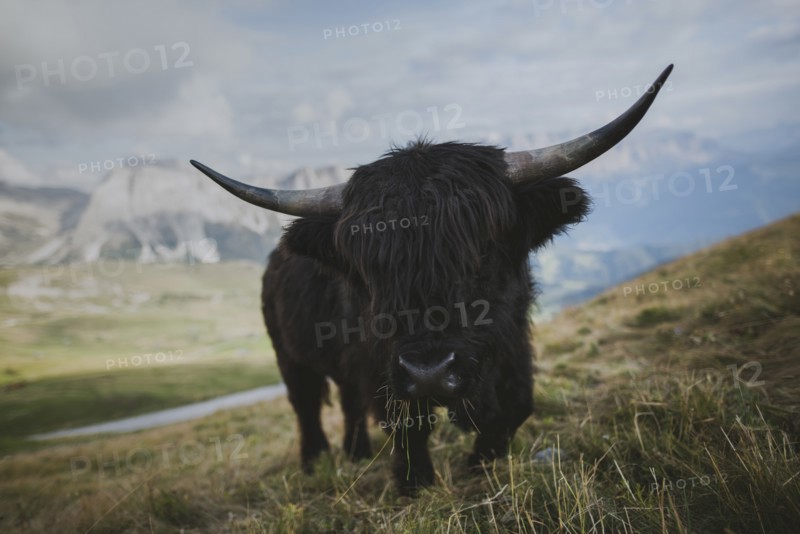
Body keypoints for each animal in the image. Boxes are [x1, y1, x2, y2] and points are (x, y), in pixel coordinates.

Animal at [190, 65, 673, 494]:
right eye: (370, 271)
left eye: (482, 250)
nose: (430, 373)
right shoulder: (380, 364)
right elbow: (406, 426)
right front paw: (414, 485)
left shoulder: (513, 342)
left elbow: (516, 406)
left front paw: (480, 463)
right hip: (289, 355)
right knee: (306, 404)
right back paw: (315, 462)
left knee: (346, 401)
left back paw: (357, 453)